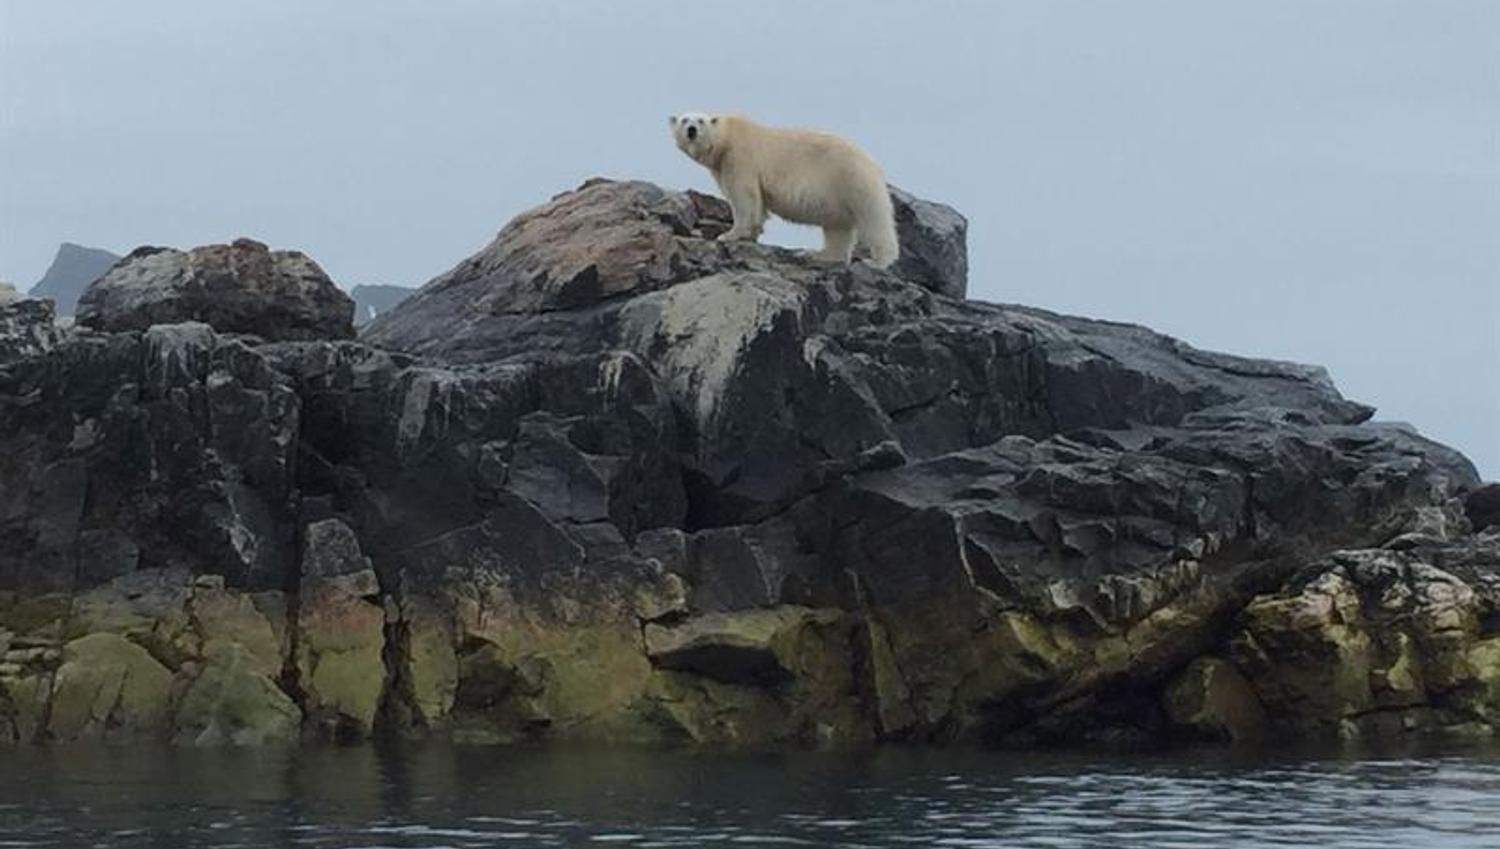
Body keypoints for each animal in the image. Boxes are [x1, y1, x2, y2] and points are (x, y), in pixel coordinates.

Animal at [669, 112, 900, 268]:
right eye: (684, 120)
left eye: (700, 120)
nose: (691, 130)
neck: (727, 139)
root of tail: (873, 164)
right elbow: (757, 204)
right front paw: (751, 234)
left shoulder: (740, 158)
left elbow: (744, 197)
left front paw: (728, 235)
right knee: (837, 227)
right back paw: (819, 255)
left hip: (851, 180)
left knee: (873, 220)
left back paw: (878, 261)